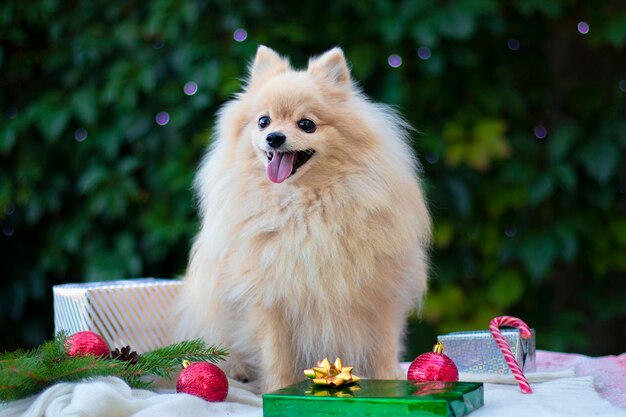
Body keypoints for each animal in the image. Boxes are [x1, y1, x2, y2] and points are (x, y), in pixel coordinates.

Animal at [176, 47, 428, 392]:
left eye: (307, 124)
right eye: (263, 121)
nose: (274, 137)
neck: (303, 208)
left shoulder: (380, 289)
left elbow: (384, 345)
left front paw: (390, 381)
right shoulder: (269, 298)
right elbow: (276, 354)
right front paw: (277, 389)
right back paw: (238, 370)